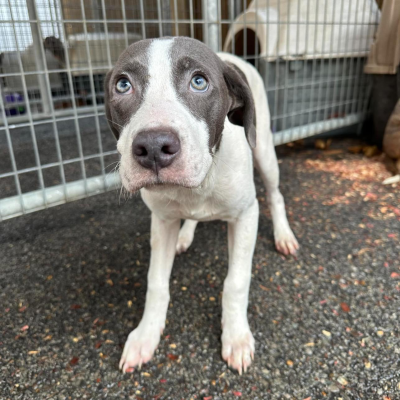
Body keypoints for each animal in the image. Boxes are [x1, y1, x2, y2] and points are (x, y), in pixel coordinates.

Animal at [104, 36, 298, 374]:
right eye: (123, 85)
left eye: (199, 81)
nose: (153, 147)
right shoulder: (161, 220)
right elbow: (156, 282)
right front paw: (146, 335)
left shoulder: (246, 215)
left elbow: (236, 282)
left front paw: (236, 337)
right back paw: (185, 235)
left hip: (263, 148)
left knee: (276, 194)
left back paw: (284, 235)